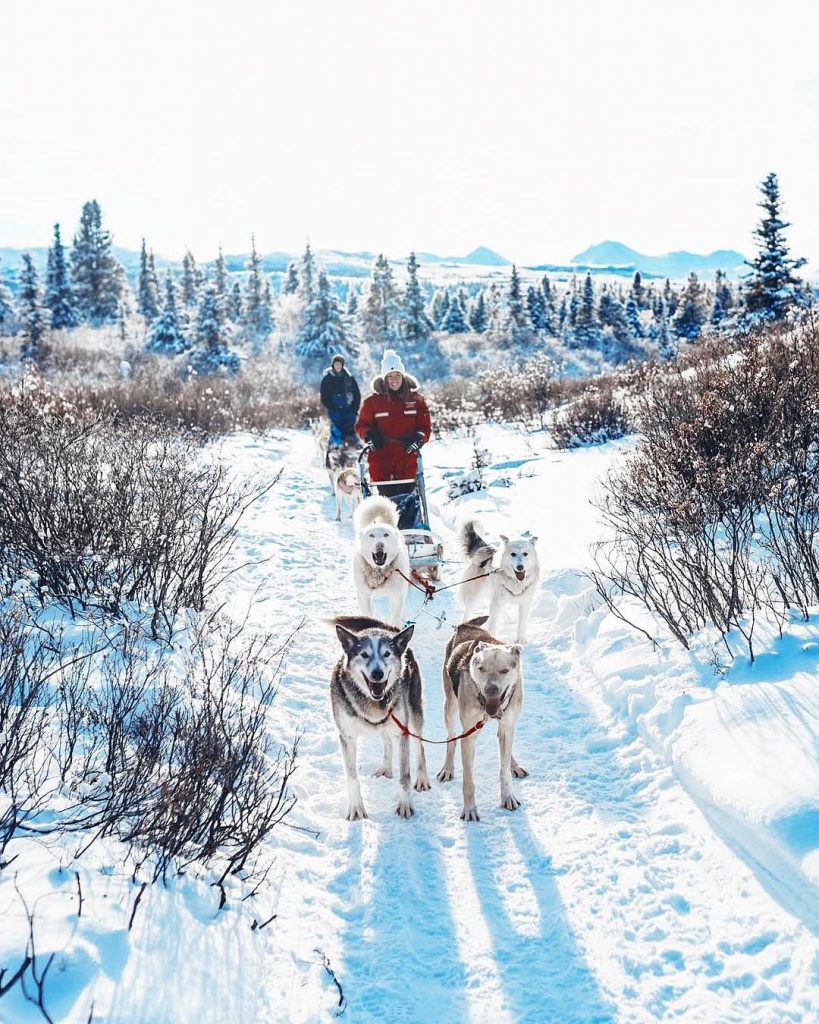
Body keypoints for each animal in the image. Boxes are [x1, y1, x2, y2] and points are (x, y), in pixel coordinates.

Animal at [331, 610, 434, 819]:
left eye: (387, 654)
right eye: (364, 654)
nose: (377, 673)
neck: (373, 701)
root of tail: (388, 628)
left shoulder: (402, 732)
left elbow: (405, 776)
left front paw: (405, 804)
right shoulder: (347, 736)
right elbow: (352, 776)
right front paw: (356, 808)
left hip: (413, 716)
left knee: (420, 748)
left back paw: (422, 777)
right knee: (387, 742)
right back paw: (386, 767)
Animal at [354, 493, 413, 626]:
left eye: (386, 535)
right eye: (371, 535)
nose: (380, 544)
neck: (378, 571)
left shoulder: (396, 597)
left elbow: (395, 619)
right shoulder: (363, 596)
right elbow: (367, 614)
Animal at [438, 614, 528, 823]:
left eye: (504, 670)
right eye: (481, 668)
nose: (491, 689)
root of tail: (465, 626)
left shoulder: (507, 725)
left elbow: (504, 769)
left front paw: (508, 796)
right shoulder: (468, 737)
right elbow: (468, 780)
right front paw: (470, 809)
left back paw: (514, 764)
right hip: (450, 707)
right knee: (451, 738)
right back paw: (448, 767)